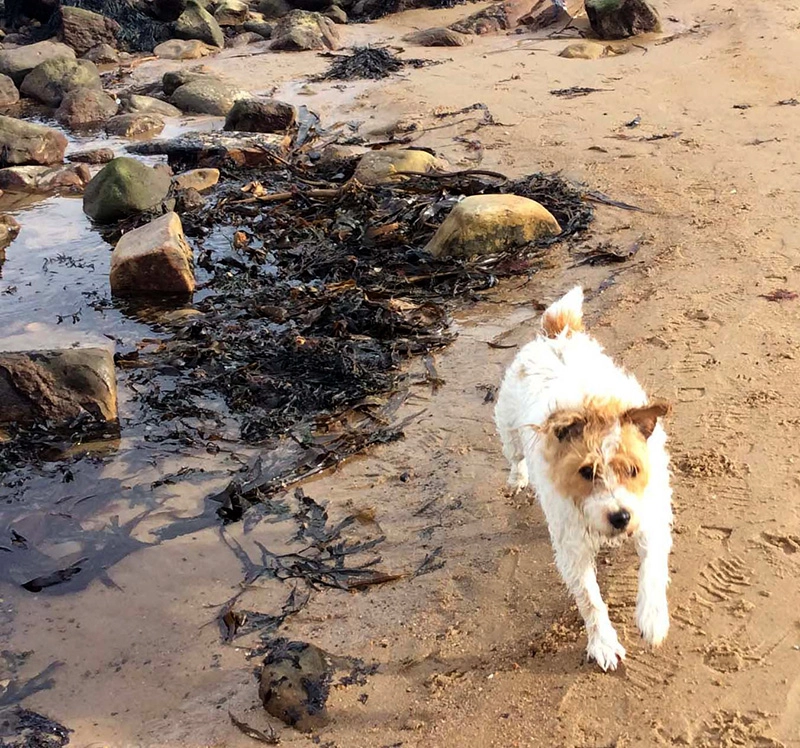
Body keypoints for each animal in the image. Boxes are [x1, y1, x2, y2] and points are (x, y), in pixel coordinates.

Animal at [494, 288, 676, 672]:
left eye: (633, 470)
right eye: (586, 472)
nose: (620, 517)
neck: (594, 407)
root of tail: (556, 336)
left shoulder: (650, 517)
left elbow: (652, 570)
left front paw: (652, 619)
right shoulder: (573, 548)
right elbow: (590, 600)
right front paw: (604, 642)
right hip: (509, 432)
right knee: (515, 457)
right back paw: (517, 479)